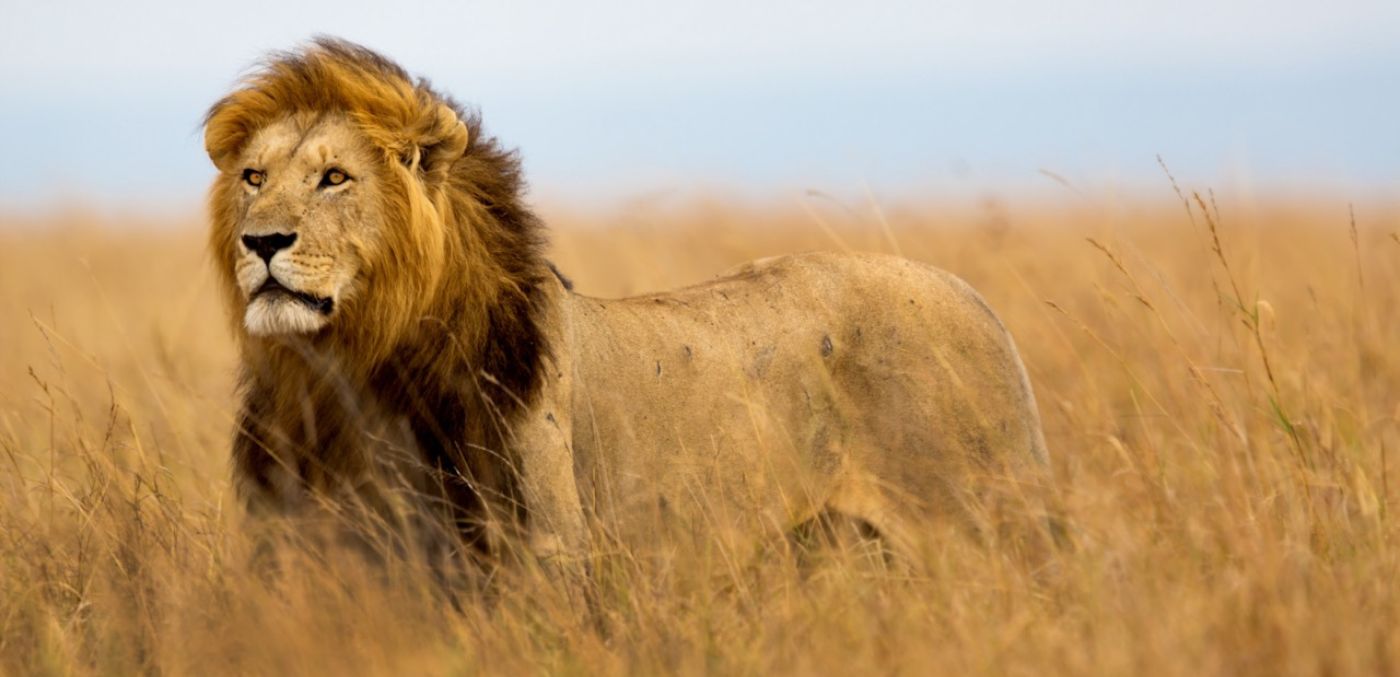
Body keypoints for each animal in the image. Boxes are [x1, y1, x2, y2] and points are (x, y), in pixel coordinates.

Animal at [204, 39, 1053, 576]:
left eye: (335, 178)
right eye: (253, 177)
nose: (262, 241)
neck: (347, 369)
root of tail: (979, 301)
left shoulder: (542, 553)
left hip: (983, 528)